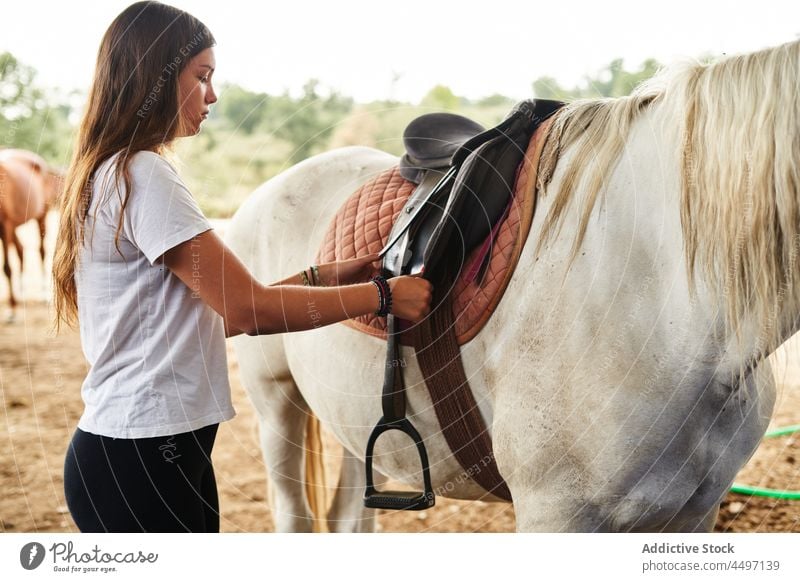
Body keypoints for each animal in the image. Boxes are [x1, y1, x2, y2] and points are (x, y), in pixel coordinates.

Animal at [0, 148, 63, 318]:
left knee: (41, 251)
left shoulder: (4, 225)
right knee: (21, 251)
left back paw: (43, 295)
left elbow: (6, 268)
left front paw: (12, 309)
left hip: (41, 216)